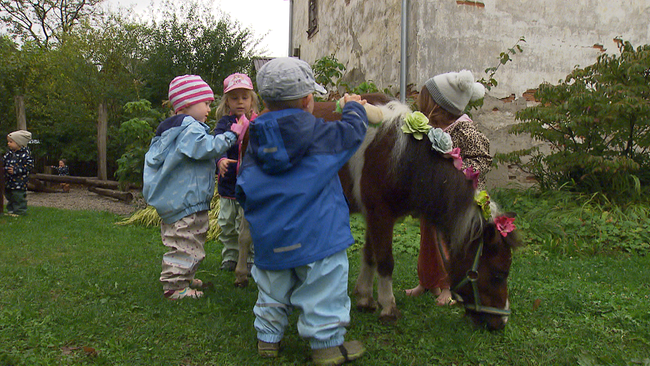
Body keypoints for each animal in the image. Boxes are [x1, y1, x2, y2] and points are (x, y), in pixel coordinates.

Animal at [235, 93, 520, 330]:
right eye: (499, 274)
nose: (501, 323)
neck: (399, 158)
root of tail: (255, 119)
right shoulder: (380, 214)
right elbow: (385, 260)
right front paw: (388, 307)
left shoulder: (376, 215)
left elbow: (371, 255)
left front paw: (365, 298)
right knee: (245, 237)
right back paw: (241, 275)